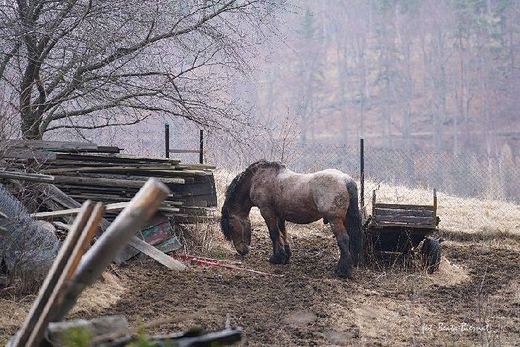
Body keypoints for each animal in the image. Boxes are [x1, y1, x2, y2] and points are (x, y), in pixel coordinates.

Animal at [221, 161, 364, 280]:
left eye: (231, 226)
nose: (241, 251)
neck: (257, 178)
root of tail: (346, 179)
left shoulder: (267, 212)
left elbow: (274, 234)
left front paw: (276, 258)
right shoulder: (280, 215)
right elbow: (283, 233)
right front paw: (286, 256)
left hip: (335, 219)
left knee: (343, 239)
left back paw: (342, 270)